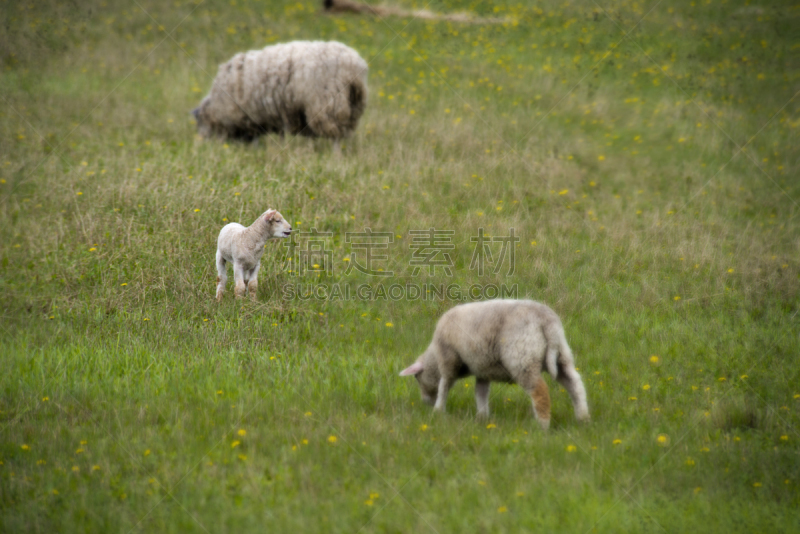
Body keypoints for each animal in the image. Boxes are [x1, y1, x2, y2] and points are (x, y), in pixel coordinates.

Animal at [194, 41, 368, 155]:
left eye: (201, 123)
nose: (203, 145)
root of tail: (353, 65)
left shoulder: (252, 115)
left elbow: (256, 136)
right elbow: (282, 134)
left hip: (327, 104)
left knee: (335, 136)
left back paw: (335, 156)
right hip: (352, 105)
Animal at [400, 302, 588, 432]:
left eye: (416, 377)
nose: (426, 403)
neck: (434, 355)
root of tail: (547, 322)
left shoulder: (449, 359)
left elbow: (444, 386)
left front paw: (438, 410)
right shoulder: (482, 369)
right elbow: (481, 392)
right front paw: (482, 417)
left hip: (523, 357)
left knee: (539, 391)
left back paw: (542, 425)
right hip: (562, 355)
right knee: (574, 384)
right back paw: (583, 418)